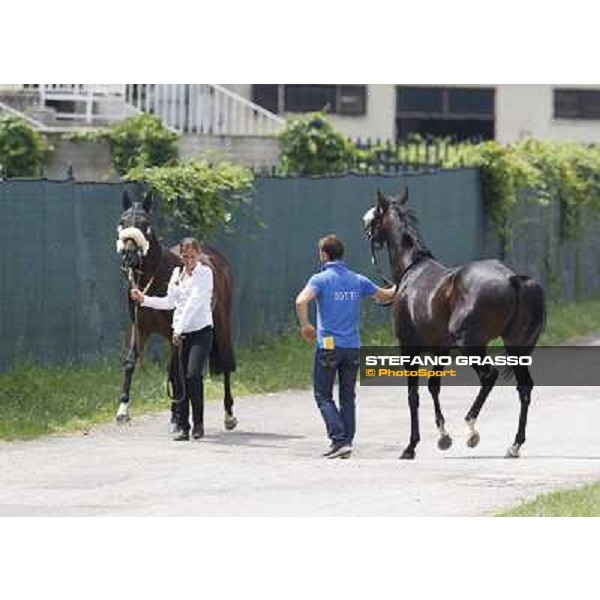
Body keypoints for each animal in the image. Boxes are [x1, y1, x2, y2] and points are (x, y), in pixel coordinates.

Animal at [115, 190, 237, 428]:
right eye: (122, 222)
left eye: (145, 224)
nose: (129, 256)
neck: (156, 277)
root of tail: (214, 256)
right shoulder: (140, 328)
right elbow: (131, 361)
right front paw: (123, 410)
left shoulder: (174, 331)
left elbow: (174, 370)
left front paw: (179, 417)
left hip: (222, 323)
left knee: (225, 362)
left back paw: (228, 414)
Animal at [364, 188, 548, 460]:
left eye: (377, 212)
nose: (366, 229)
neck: (412, 271)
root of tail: (513, 278)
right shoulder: (441, 349)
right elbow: (433, 387)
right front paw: (443, 438)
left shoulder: (408, 347)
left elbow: (413, 395)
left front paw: (410, 447)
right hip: (515, 347)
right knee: (524, 387)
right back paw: (514, 445)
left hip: (470, 345)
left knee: (489, 376)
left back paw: (471, 429)